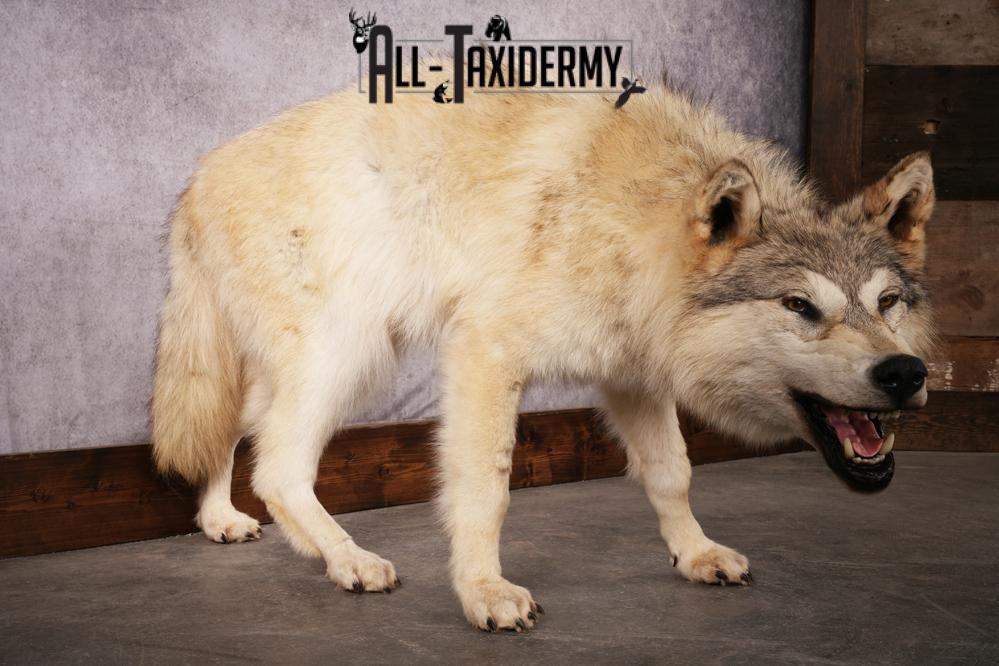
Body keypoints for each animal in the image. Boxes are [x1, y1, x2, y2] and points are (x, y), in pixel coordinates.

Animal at [151, 66, 936, 632]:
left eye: (886, 303)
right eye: (800, 307)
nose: (906, 373)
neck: (633, 216)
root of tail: (194, 179)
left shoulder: (632, 375)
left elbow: (672, 473)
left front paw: (694, 554)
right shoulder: (485, 354)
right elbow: (486, 490)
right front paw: (483, 592)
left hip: (305, 362)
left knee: (233, 428)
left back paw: (225, 522)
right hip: (348, 356)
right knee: (279, 466)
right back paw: (349, 559)